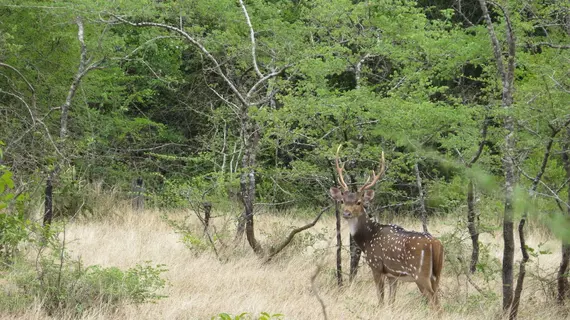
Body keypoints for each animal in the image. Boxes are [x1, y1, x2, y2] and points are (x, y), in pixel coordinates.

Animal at [328, 146, 444, 308]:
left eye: (359, 202)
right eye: (343, 201)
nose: (346, 213)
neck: (367, 240)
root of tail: (436, 244)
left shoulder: (376, 265)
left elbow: (381, 298)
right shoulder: (392, 274)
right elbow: (391, 300)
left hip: (420, 273)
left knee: (434, 302)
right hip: (437, 274)